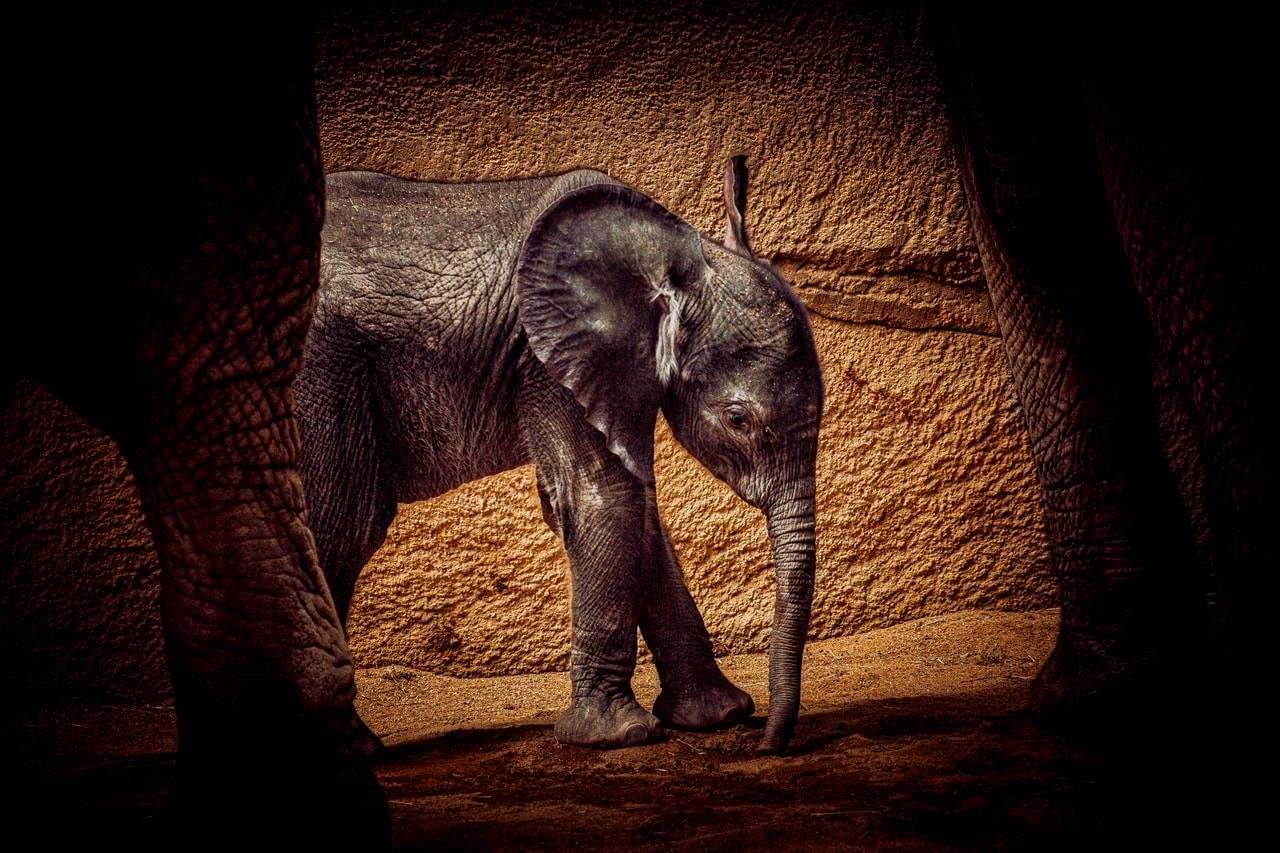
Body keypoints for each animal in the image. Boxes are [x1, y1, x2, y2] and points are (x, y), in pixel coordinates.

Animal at [295, 157, 824, 753]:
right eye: (738, 419)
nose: (767, 745)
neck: (668, 247)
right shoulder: (547, 354)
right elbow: (602, 495)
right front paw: (617, 735)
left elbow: (637, 505)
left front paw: (715, 716)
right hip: (320, 369)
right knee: (343, 525)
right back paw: (346, 745)